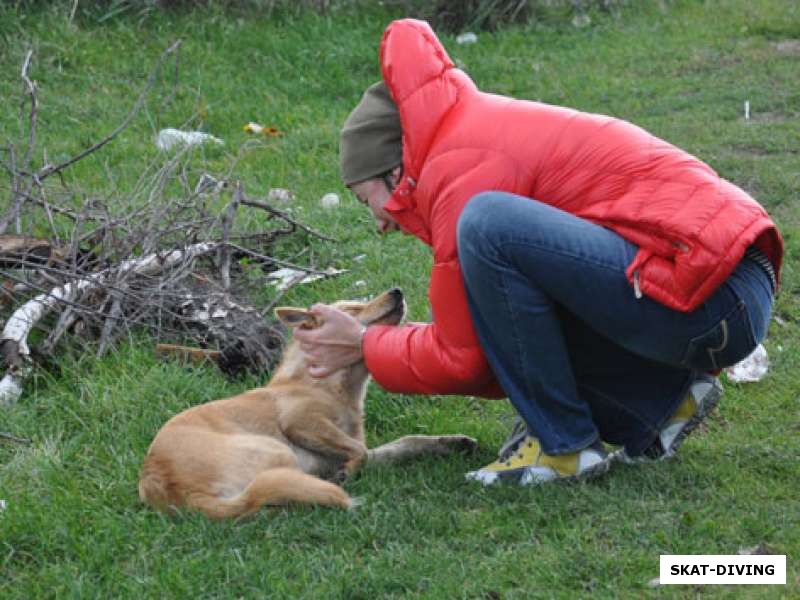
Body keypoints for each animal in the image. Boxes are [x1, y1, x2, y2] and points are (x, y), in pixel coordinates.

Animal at [138, 288, 478, 516]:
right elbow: (358, 451)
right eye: (352, 308)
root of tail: (179, 491)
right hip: (279, 450)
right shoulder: (301, 423)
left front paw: (450, 442)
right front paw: (348, 472)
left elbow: (404, 442)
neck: (330, 385)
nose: (397, 290)